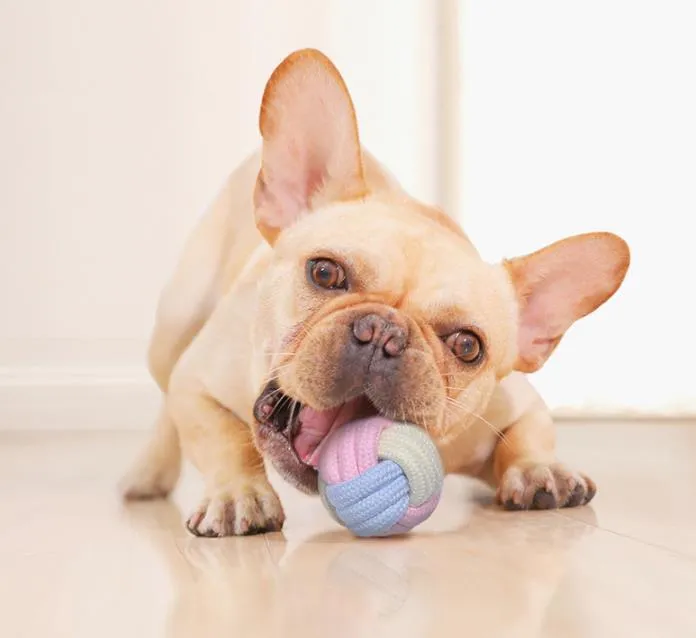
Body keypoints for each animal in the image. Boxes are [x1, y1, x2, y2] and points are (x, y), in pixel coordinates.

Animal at [119, 51, 632, 540]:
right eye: (325, 273)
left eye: (468, 346)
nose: (383, 331)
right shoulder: (197, 383)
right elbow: (224, 438)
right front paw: (237, 494)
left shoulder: (516, 407)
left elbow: (529, 435)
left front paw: (539, 469)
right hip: (175, 326)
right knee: (166, 403)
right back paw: (148, 472)